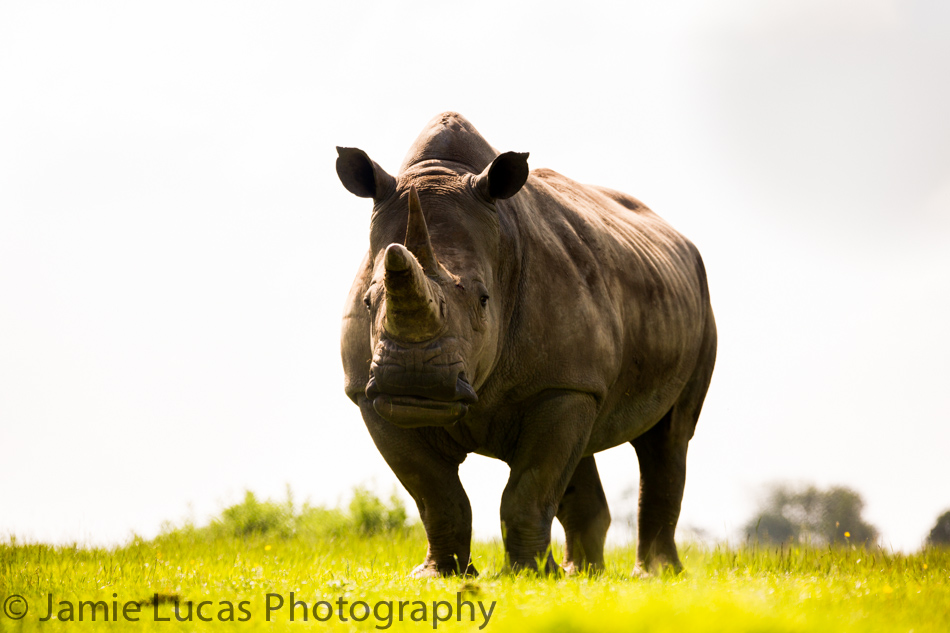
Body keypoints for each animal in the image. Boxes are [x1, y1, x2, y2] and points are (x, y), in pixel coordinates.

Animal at [337, 112, 716, 577]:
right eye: (369, 301)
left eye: (484, 299)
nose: (416, 379)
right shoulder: (369, 394)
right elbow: (435, 495)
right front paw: (439, 575)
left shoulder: (562, 384)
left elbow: (530, 487)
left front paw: (526, 576)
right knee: (586, 446)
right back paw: (582, 574)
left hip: (699, 300)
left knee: (668, 437)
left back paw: (654, 575)